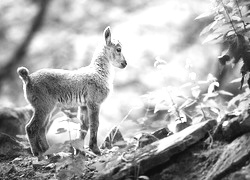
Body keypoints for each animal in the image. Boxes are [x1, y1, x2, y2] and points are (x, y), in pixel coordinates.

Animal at [17, 27, 127, 158]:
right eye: (118, 49)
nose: (125, 63)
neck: (99, 72)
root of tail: (28, 79)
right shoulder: (94, 103)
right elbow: (94, 124)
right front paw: (95, 150)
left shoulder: (84, 105)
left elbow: (83, 126)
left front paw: (80, 151)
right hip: (43, 106)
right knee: (31, 128)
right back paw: (38, 153)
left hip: (50, 108)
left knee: (42, 128)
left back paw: (51, 153)